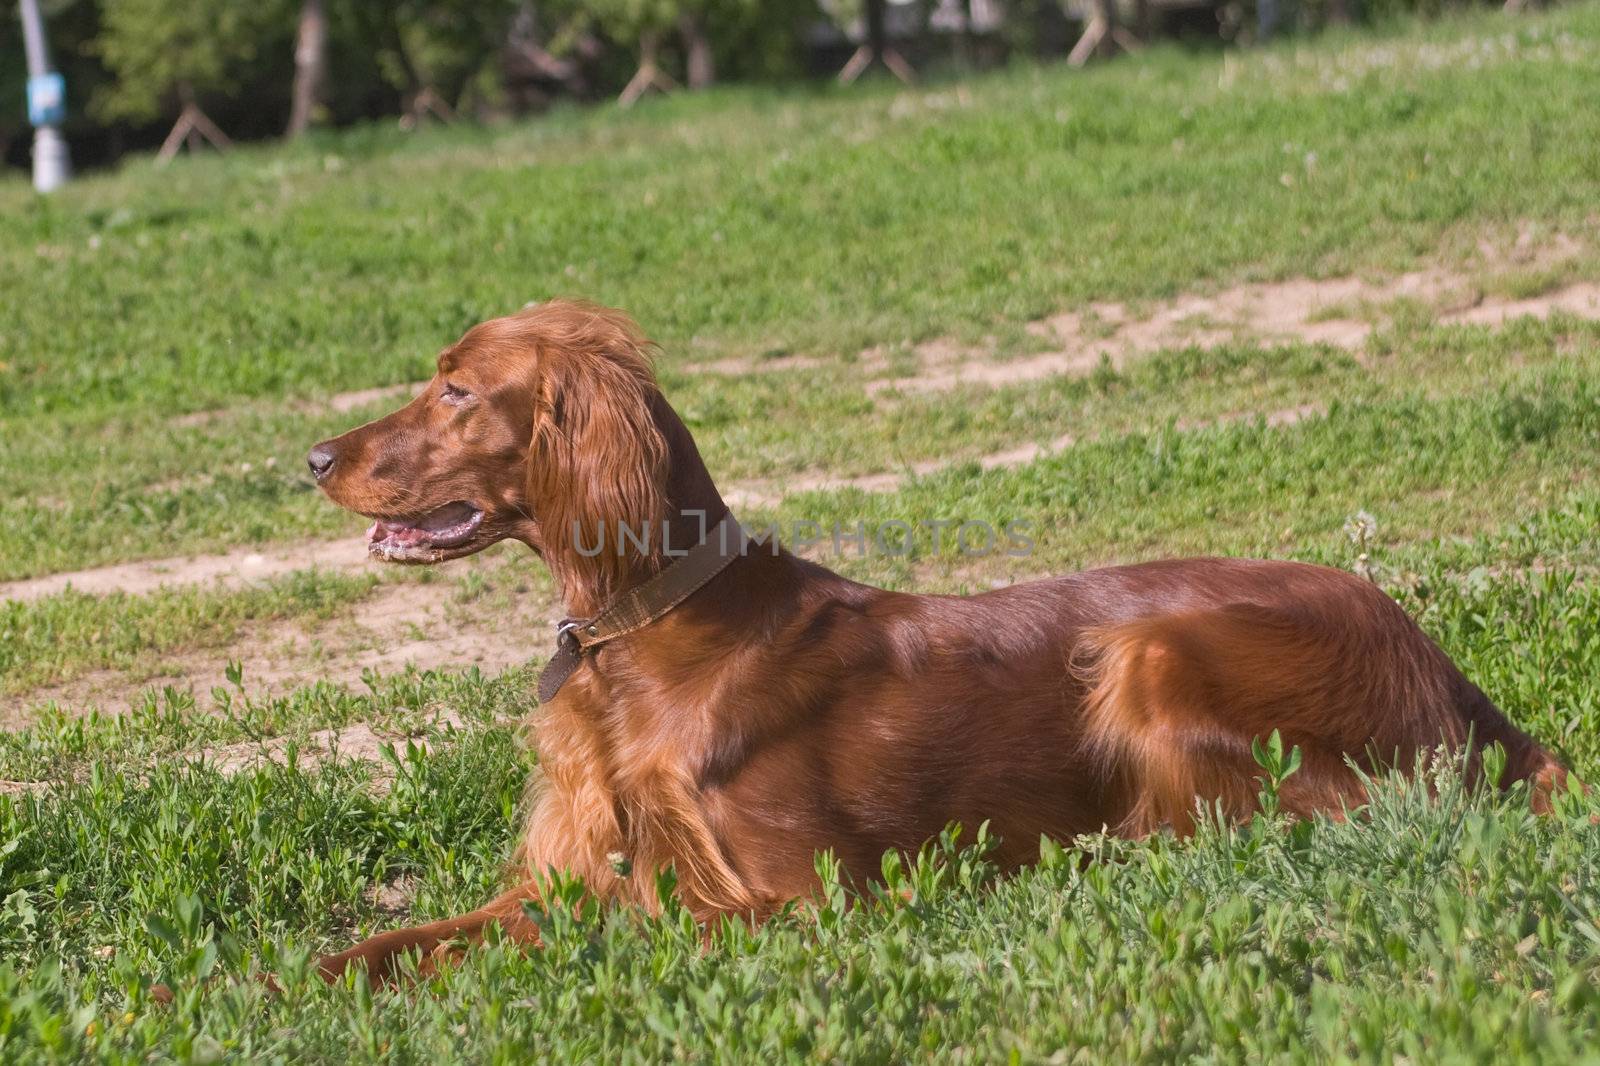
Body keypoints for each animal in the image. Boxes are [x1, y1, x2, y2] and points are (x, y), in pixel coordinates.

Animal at [305, 294, 1568, 985]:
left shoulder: (805, 897)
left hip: (1147, 648)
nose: (311, 458)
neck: (644, 641)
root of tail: (1455, 680)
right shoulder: (565, 874)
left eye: (457, 390)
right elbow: (387, 944)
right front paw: (289, 985)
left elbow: (647, 918)